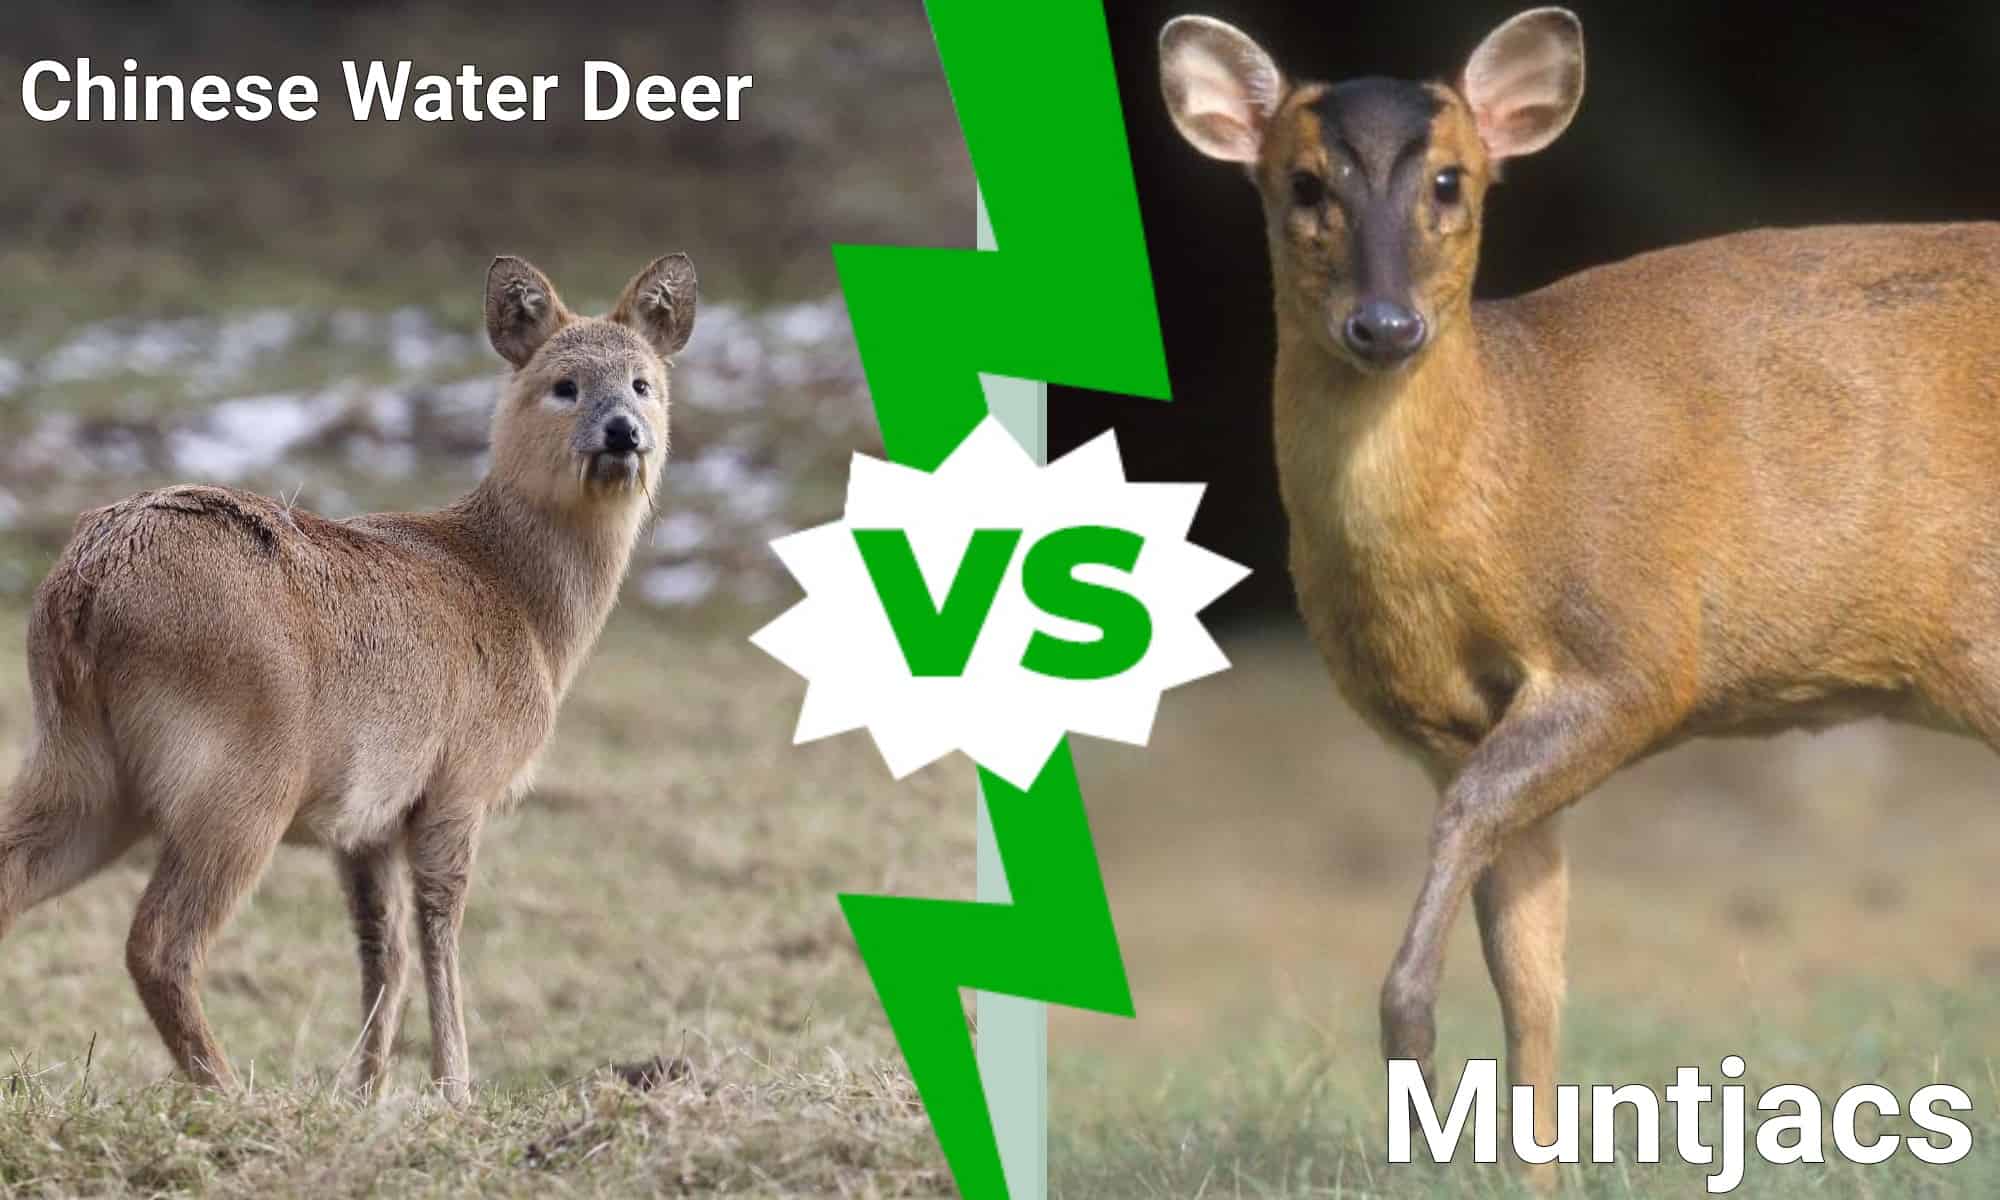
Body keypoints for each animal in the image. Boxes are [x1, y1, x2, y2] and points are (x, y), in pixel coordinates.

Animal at [0, 253, 696, 1100]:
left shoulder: (364, 820)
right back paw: (229, 1091)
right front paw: (453, 1088)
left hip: (79, 763)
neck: (519, 601)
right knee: (159, 941)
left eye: (642, 382)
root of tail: (86, 585)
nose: (623, 430)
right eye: (563, 384)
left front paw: (364, 1093)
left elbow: (381, 950)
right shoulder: (459, 783)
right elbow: (438, 933)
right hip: (238, 776)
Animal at [1161, 3, 2000, 1179]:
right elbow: (1528, 965)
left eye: (1451, 181)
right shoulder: (1448, 725)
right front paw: (1524, 1163)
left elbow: (1478, 834)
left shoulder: (1635, 649)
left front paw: (1412, 1049)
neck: (1504, 458)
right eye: (1302, 183)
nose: (1384, 326)